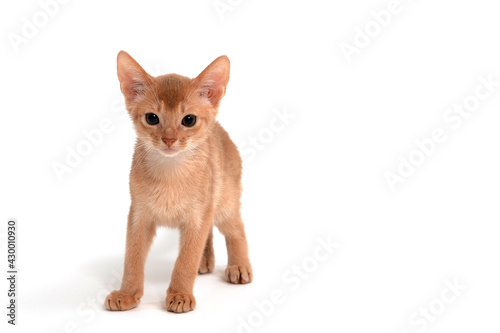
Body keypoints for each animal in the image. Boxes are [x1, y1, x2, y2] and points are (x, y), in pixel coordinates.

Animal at [106, 51, 254, 312]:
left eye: (189, 120)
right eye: (152, 118)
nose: (168, 139)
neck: (170, 174)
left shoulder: (197, 217)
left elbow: (186, 259)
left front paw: (180, 294)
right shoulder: (139, 215)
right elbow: (132, 257)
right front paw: (127, 293)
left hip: (224, 204)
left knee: (236, 229)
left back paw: (238, 266)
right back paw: (205, 260)